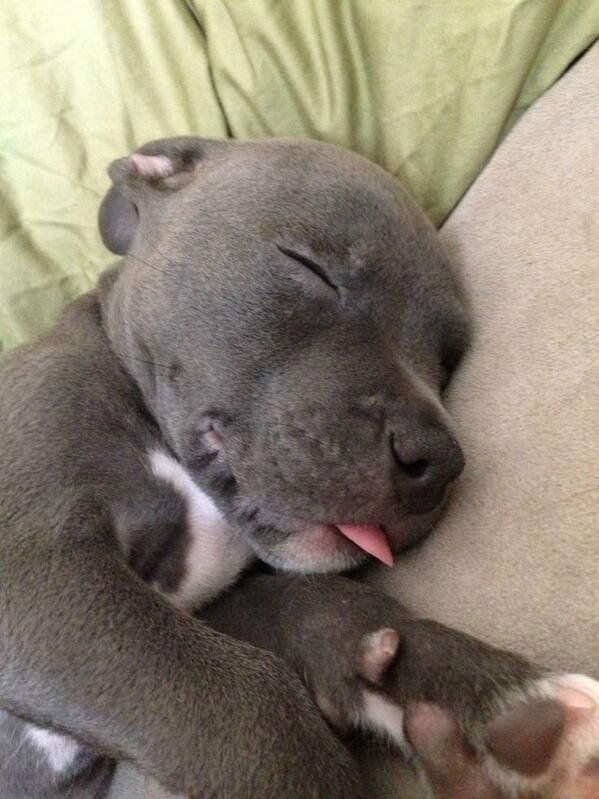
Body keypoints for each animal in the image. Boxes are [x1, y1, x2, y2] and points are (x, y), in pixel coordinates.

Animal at [0, 138, 596, 799]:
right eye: (309, 267)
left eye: (446, 360)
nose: (438, 460)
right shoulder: (38, 565)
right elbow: (251, 700)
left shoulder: (208, 608)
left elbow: (314, 602)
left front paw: (497, 698)